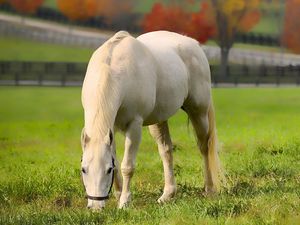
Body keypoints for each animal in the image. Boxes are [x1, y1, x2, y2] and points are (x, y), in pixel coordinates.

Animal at [81, 29, 221, 209]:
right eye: (84, 169)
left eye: (107, 170)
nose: (96, 207)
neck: (114, 69)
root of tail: (194, 44)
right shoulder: (110, 128)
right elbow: (117, 163)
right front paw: (118, 195)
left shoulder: (134, 126)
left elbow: (127, 166)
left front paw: (124, 201)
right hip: (159, 120)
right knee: (166, 151)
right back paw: (167, 195)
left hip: (199, 112)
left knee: (204, 147)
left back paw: (209, 189)